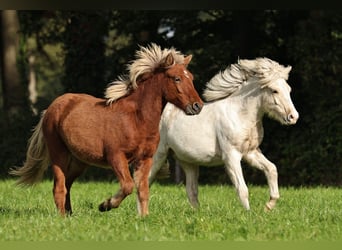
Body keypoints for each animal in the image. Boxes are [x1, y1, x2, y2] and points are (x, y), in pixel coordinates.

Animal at [10, 43, 203, 217]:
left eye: (191, 78)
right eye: (176, 78)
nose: (197, 106)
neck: (137, 119)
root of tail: (51, 108)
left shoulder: (145, 159)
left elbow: (143, 190)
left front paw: (144, 218)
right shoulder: (116, 156)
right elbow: (128, 185)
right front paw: (105, 205)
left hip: (79, 161)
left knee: (68, 184)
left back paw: (70, 214)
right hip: (59, 154)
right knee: (59, 187)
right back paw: (62, 217)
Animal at [148, 57, 298, 211]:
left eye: (288, 89)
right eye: (274, 91)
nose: (293, 117)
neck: (239, 115)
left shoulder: (250, 153)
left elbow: (271, 169)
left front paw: (268, 206)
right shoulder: (231, 156)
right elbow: (242, 189)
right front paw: (248, 213)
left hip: (187, 161)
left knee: (191, 191)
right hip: (158, 155)